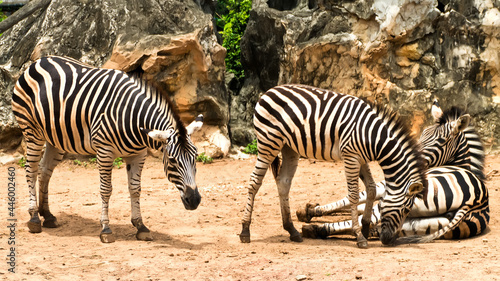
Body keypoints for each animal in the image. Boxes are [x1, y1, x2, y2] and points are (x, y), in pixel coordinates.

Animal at [12, 55, 203, 242]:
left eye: (195, 158)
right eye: (172, 161)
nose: (194, 200)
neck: (132, 118)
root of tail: (39, 60)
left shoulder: (138, 154)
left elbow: (135, 189)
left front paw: (140, 226)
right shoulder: (105, 151)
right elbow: (106, 189)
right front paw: (105, 229)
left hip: (56, 138)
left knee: (44, 170)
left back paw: (48, 215)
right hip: (32, 131)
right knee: (31, 169)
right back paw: (34, 218)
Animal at [238, 83, 426, 247]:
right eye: (406, 210)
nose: (390, 241)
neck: (374, 137)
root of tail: (269, 91)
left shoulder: (361, 159)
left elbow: (372, 189)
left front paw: (365, 228)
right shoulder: (351, 156)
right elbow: (354, 196)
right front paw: (359, 236)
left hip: (288, 147)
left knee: (283, 183)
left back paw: (292, 230)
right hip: (268, 142)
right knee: (254, 182)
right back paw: (245, 231)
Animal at [296, 101, 488, 240]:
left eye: (441, 141)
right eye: (423, 133)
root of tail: (475, 202)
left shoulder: (391, 186)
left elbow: (357, 198)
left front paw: (311, 211)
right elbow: (359, 204)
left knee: (367, 219)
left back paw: (314, 229)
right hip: (419, 224)